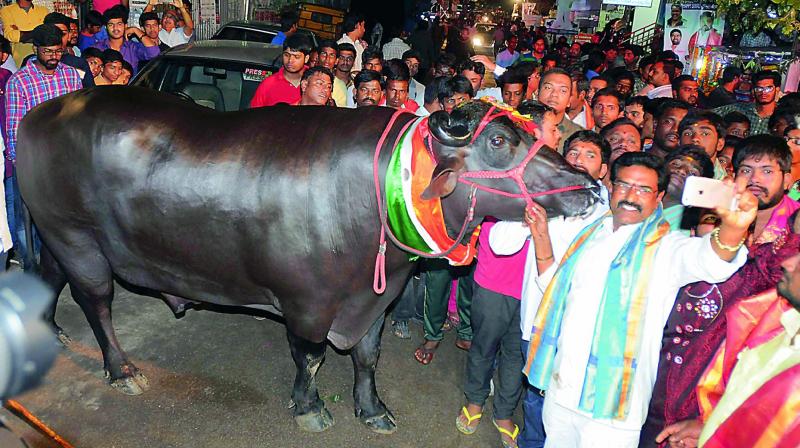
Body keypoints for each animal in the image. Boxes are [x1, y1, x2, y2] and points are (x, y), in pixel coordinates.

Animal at [15, 87, 600, 434]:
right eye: (499, 140)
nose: (590, 186)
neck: (375, 195)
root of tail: (38, 115)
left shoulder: (376, 299)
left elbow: (367, 356)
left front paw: (373, 410)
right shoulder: (307, 304)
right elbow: (312, 358)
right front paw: (311, 407)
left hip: (56, 238)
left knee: (47, 275)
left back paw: (50, 330)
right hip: (77, 238)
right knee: (96, 300)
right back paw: (122, 370)